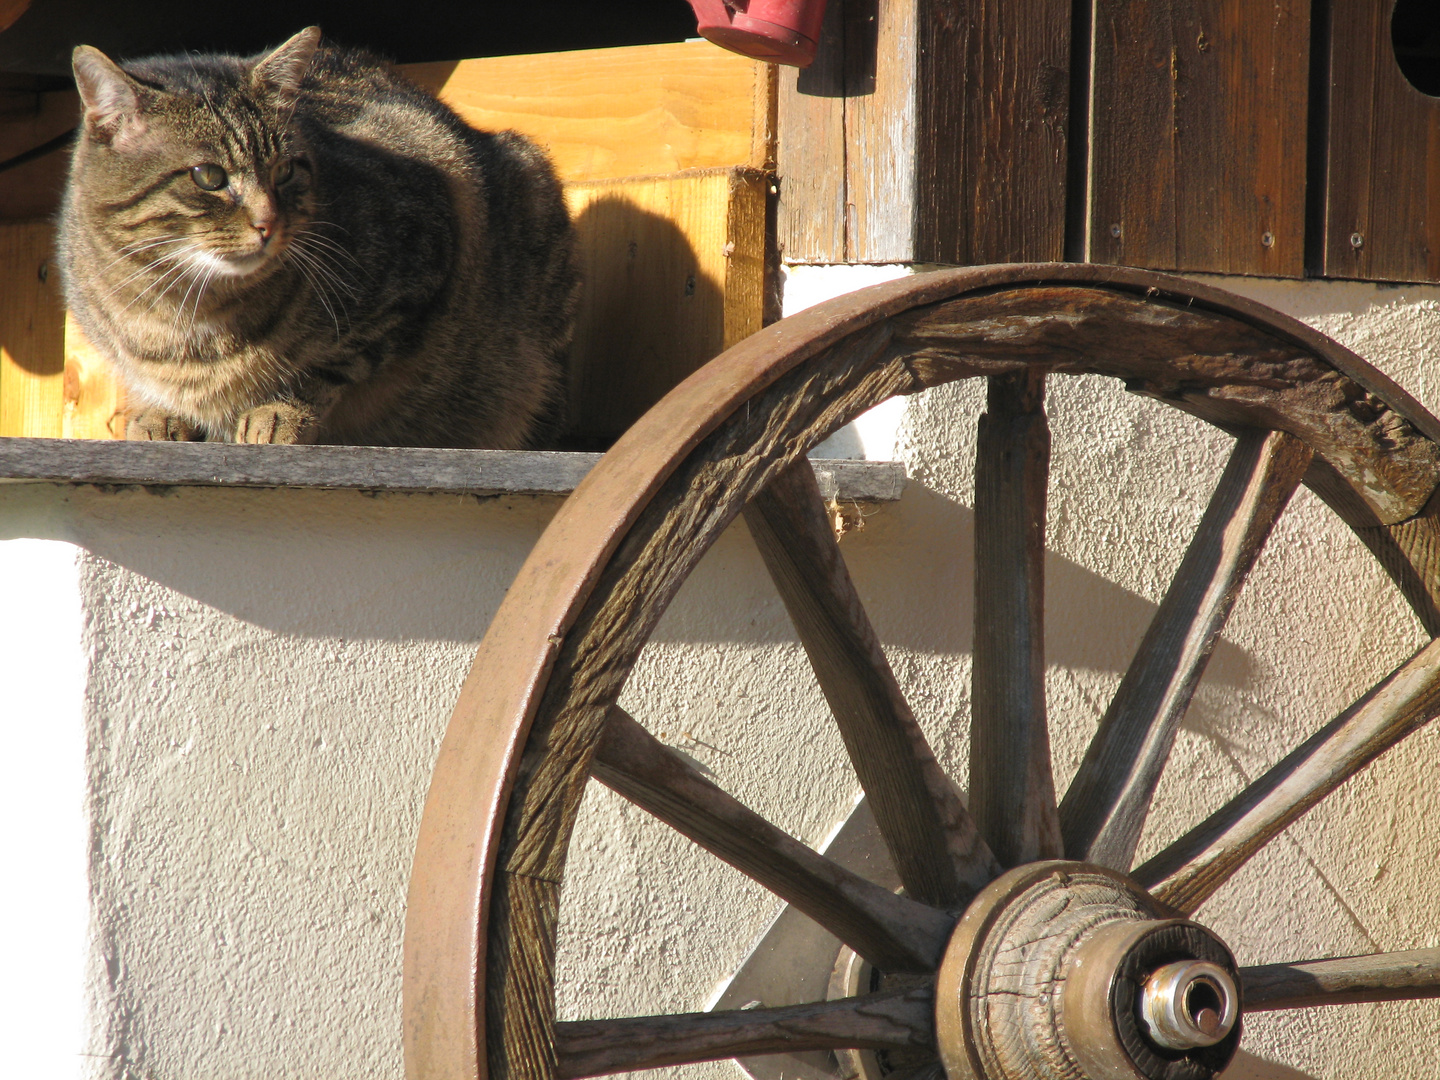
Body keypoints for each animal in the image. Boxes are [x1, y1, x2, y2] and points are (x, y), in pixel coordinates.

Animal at [60, 27, 578, 449]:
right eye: (208, 176)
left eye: (285, 171)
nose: (268, 222)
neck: (179, 311)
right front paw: (158, 414)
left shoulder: (423, 254)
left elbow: (328, 367)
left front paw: (279, 412)